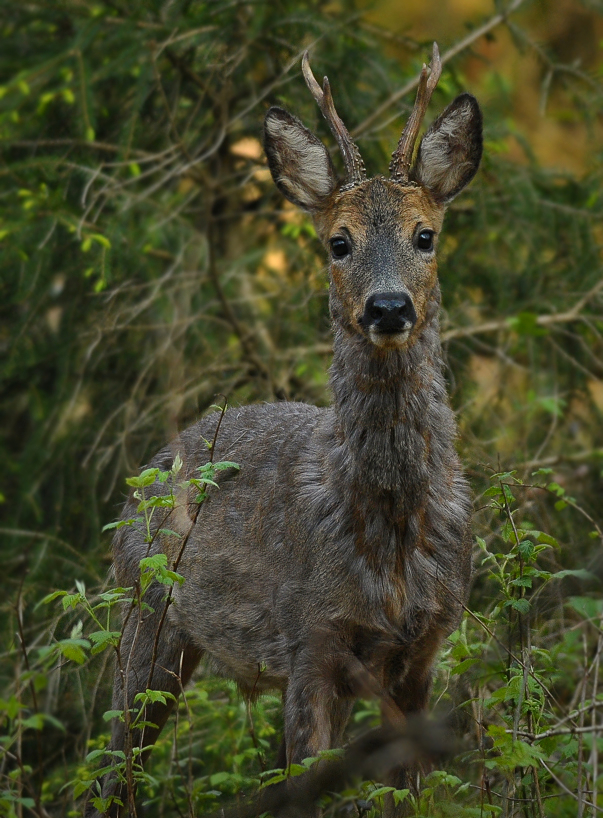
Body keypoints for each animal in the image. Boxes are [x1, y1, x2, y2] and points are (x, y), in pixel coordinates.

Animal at [88, 43, 482, 808]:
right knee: (112, 771)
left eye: (425, 235)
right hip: (145, 609)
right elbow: (306, 782)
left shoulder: (425, 647)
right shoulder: (310, 637)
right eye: (338, 242)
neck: (387, 536)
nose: (387, 307)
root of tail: (152, 463)